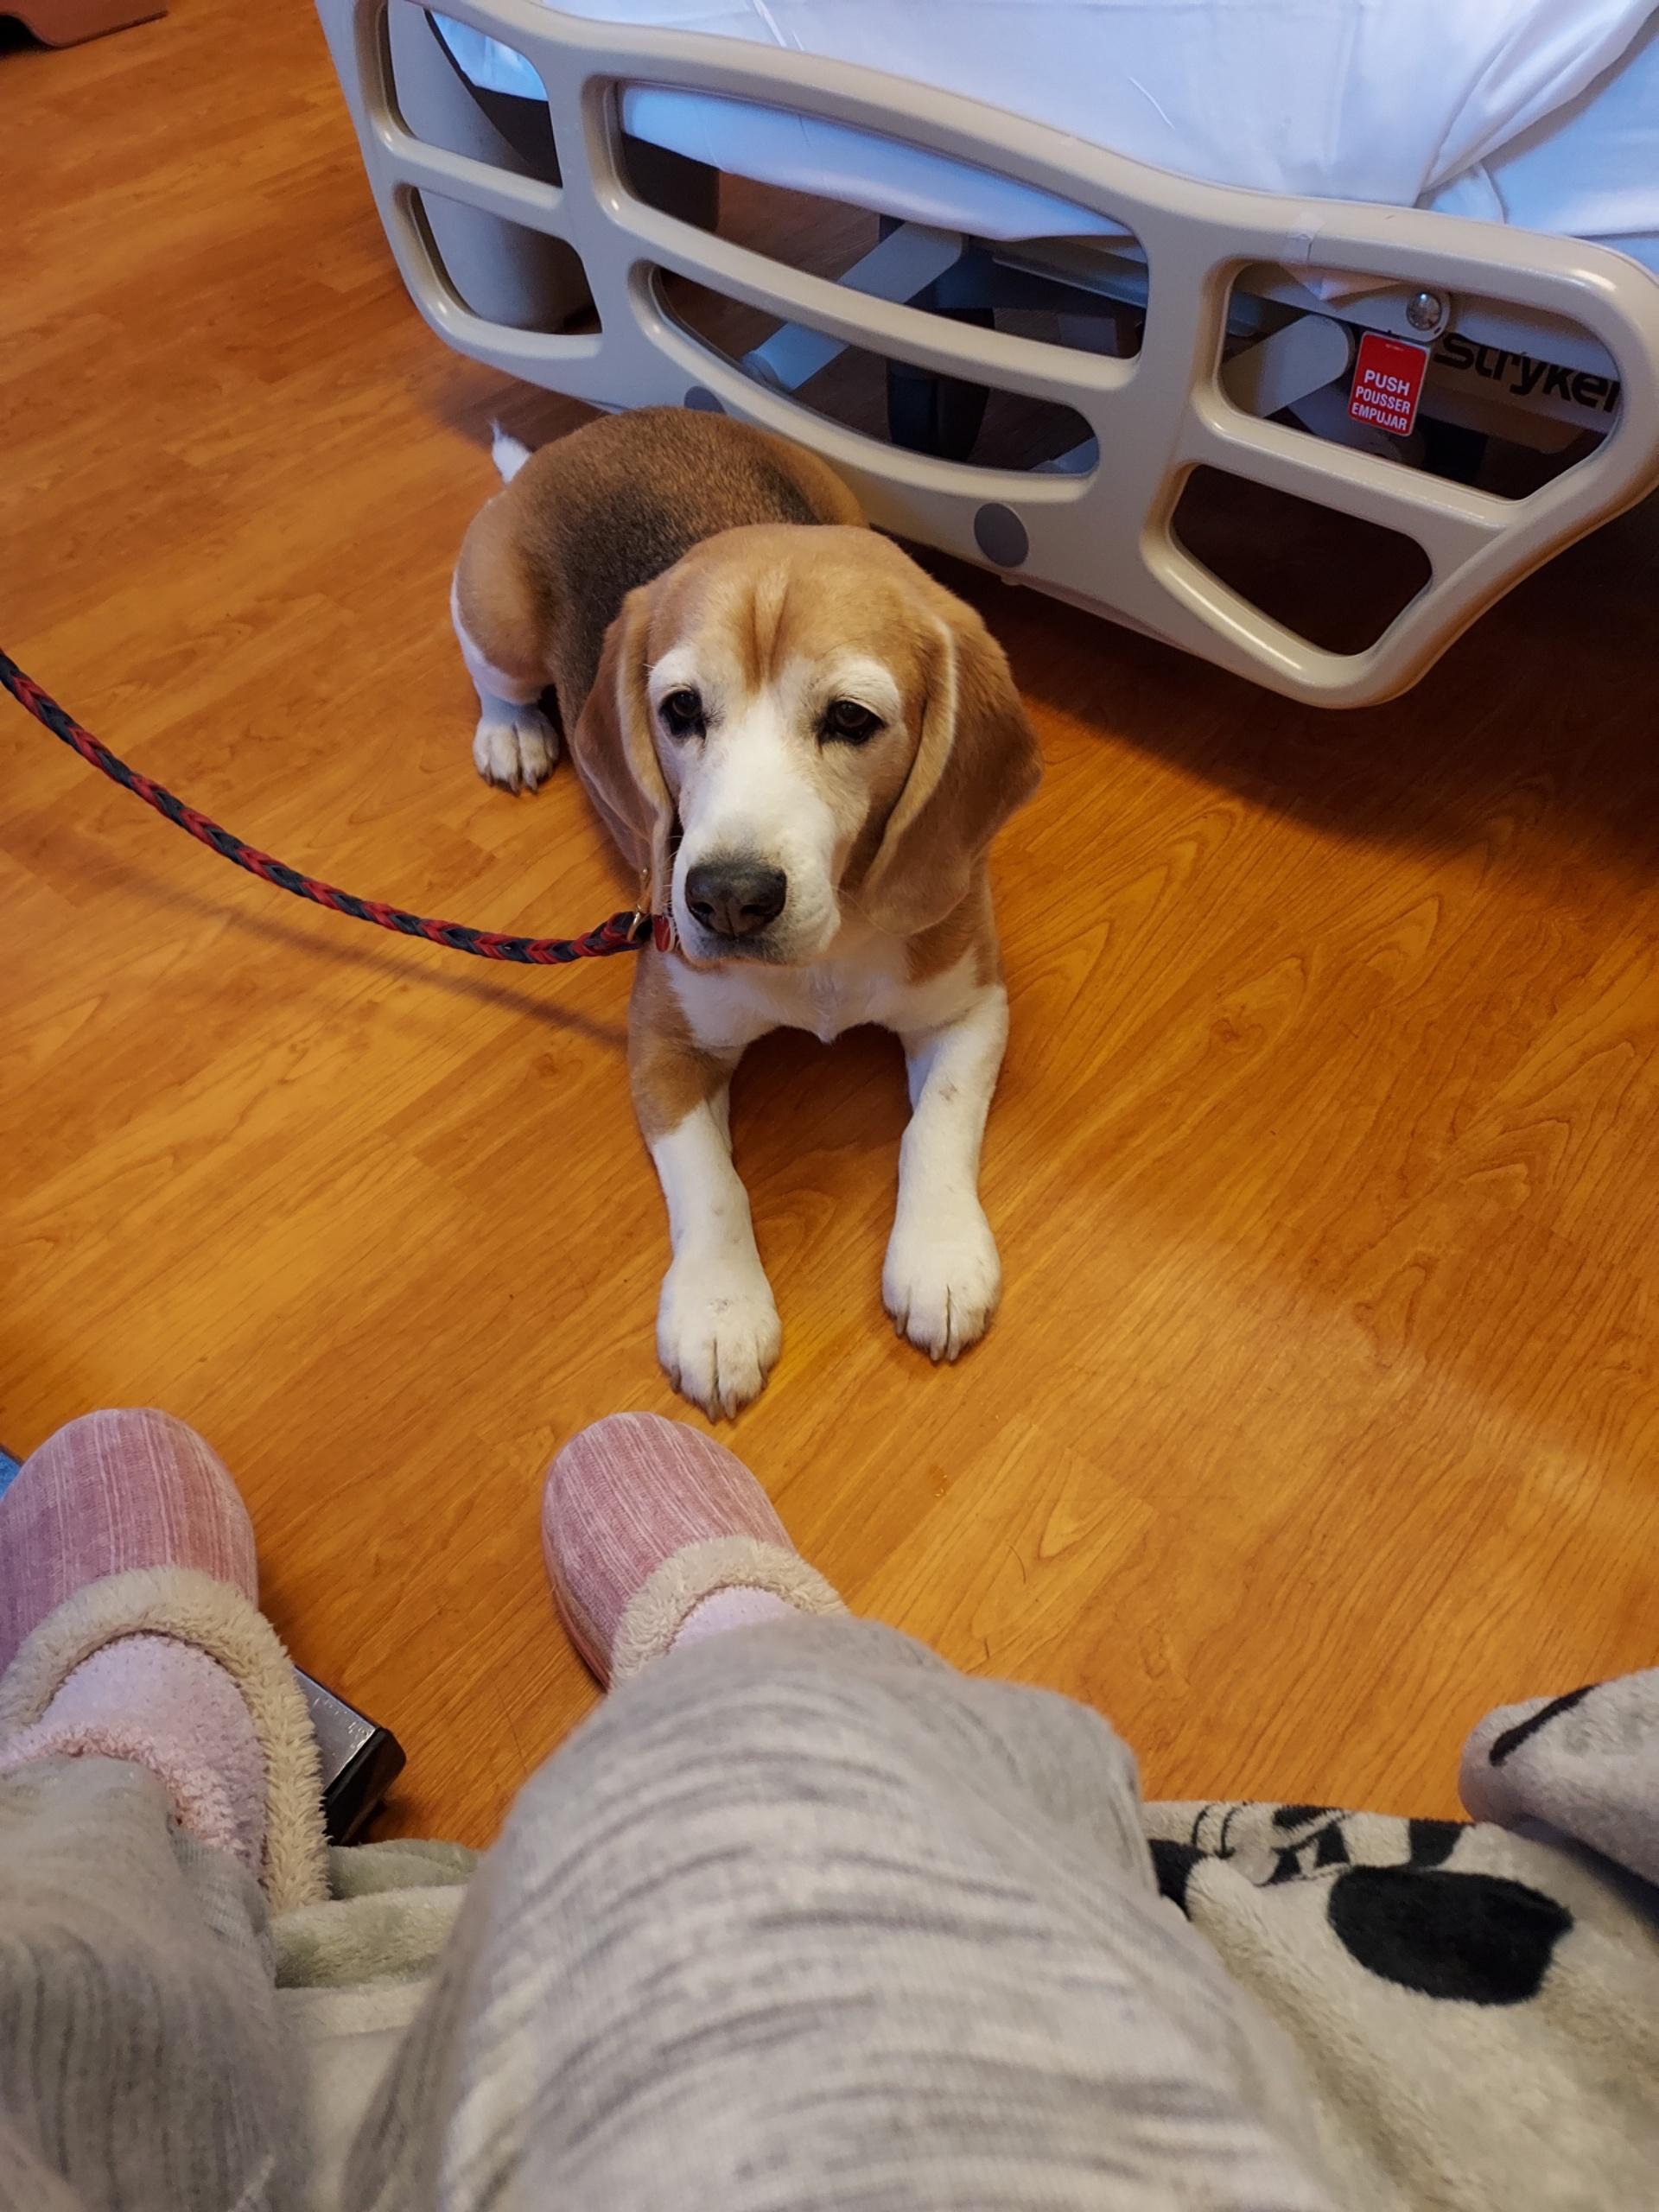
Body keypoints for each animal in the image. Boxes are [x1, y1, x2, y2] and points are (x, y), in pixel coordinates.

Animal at [455, 404, 1039, 1407]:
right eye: (681, 710)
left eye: (851, 719)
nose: (726, 899)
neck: (825, 960)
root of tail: (592, 434)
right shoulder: (664, 1039)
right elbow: (712, 1184)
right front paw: (719, 1312)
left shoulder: (970, 1004)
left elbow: (937, 1125)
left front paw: (939, 1257)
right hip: (493, 611)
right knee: (495, 676)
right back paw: (514, 733)